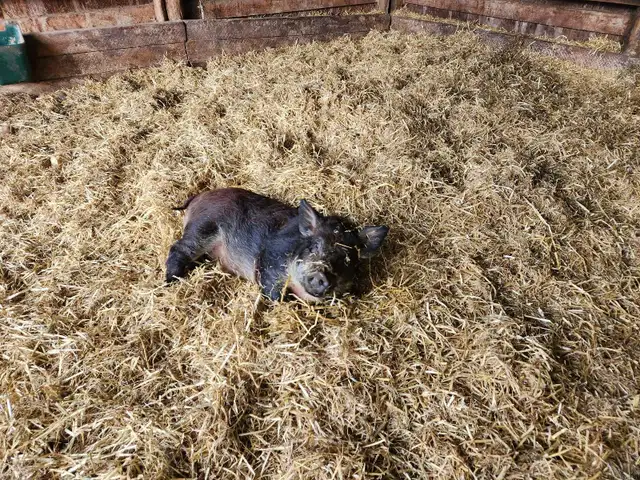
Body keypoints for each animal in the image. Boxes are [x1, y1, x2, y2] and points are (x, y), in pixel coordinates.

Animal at [165, 188, 388, 302]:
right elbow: (274, 294)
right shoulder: (270, 262)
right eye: (314, 247)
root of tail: (199, 196)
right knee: (178, 249)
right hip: (203, 226)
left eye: (346, 259)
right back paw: (170, 281)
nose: (321, 275)